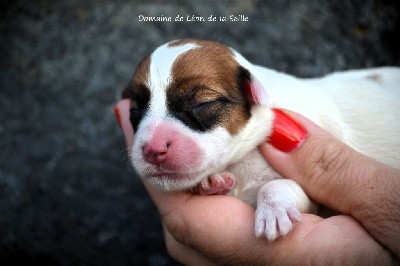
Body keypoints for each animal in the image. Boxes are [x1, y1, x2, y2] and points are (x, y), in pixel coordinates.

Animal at [122, 39, 400, 241]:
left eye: (203, 103)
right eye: (134, 111)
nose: (153, 149)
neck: (242, 158)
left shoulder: (311, 198)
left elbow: (279, 186)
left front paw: (273, 211)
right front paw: (212, 183)